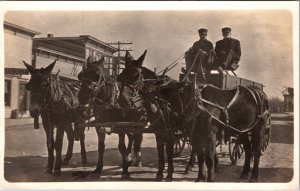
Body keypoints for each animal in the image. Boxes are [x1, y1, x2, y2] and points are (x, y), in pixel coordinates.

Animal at [116, 50, 180, 181]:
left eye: (136, 75)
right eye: (120, 76)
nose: (123, 101)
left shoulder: (170, 132)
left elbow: (169, 149)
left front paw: (170, 173)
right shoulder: (158, 131)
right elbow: (160, 150)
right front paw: (160, 172)